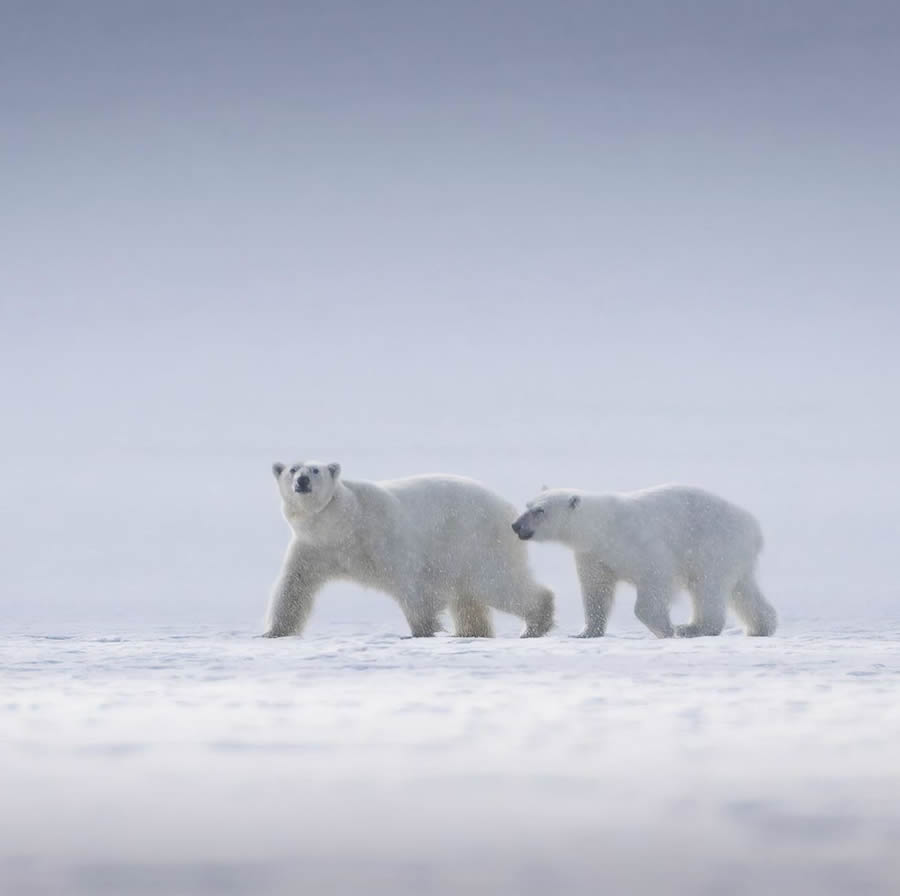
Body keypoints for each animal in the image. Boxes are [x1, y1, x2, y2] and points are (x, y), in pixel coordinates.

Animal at [262, 462, 556, 636]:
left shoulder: (383, 536)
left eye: (315, 470)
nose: (302, 481)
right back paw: (472, 632)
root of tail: (507, 508)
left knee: (497, 583)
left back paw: (535, 624)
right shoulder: (313, 548)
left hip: (477, 542)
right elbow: (293, 587)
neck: (343, 523)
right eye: (293, 468)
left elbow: (410, 583)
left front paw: (422, 630)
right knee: (469, 599)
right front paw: (273, 632)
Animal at [510, 486, 776, 640]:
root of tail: (754, 528)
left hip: (713, 545)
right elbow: (596, 590)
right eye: (527, 505)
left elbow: (655, 579)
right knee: (743, 590)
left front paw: (666, 629)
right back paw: (762, 626)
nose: (516, 525)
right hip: (734, 554)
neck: (602, 526)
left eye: (540, 510)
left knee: (707, 586)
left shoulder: (640, 542)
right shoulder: (593, 554)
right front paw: (586, 632)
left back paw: (692, 628)